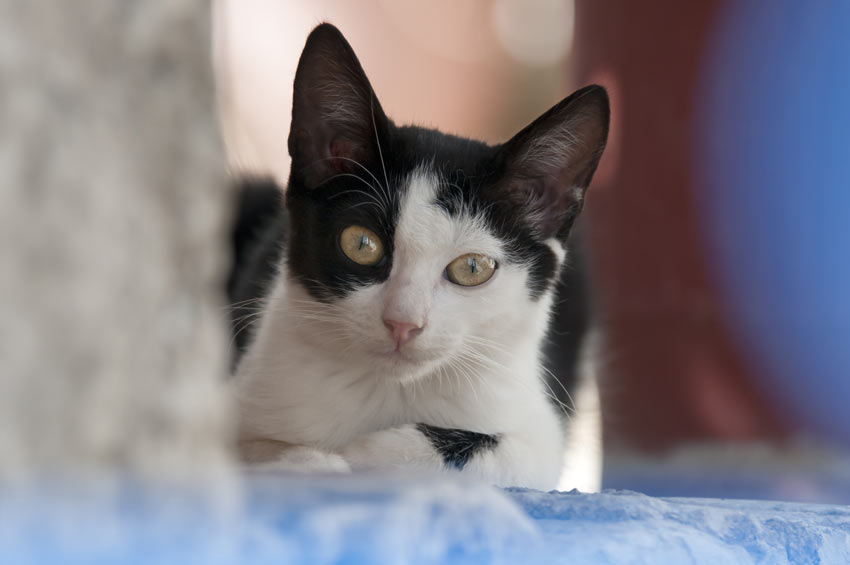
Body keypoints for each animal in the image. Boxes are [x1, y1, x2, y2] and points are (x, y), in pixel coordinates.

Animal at [229, 22, 608, 490]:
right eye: (361, 243)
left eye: (471, 268)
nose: (403, 323)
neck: (393, 389)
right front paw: (312, 461)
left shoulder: (540, 435)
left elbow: (502, 452)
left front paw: (364, 453)